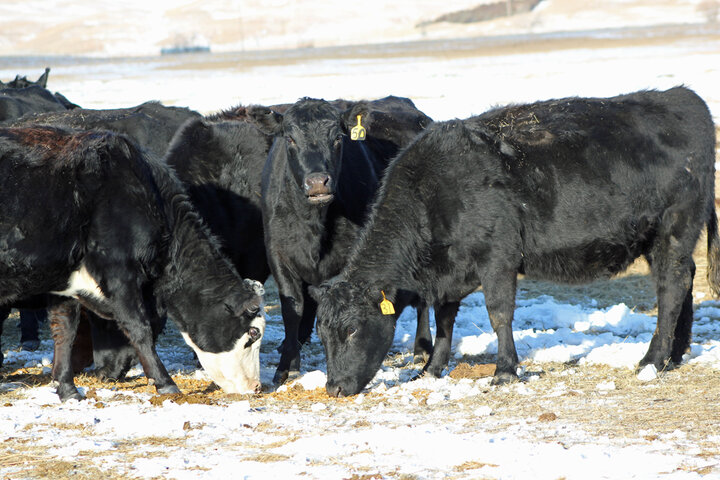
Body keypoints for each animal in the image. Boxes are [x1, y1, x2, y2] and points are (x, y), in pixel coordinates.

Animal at [0, 125, 268, 400]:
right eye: (253, 333)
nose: (256, 387)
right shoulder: (120, 274)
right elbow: (139, 328)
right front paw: (165, 383)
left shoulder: (64, 281)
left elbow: (64, 331)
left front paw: (67, 389)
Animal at [256, 95, 430, 384]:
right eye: (290, 138)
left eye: (338, 138)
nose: (317, 182)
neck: (315, 226)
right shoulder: (277, 255)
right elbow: (293, 310)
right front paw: (287, 365)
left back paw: (422, 348)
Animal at [310, 87, 720, 398]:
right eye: (322, 333)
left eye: (352, 329)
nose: (334, 388)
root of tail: (681, 97)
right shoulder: (448, 272)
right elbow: (444, 320)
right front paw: (430, 368)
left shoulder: (498, 257)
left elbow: (499, 314)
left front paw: (505, 371)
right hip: (661, 239)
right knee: (682, 282)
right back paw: (675, 354)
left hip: (674, 228)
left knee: (671, 287)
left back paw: (652, 360)